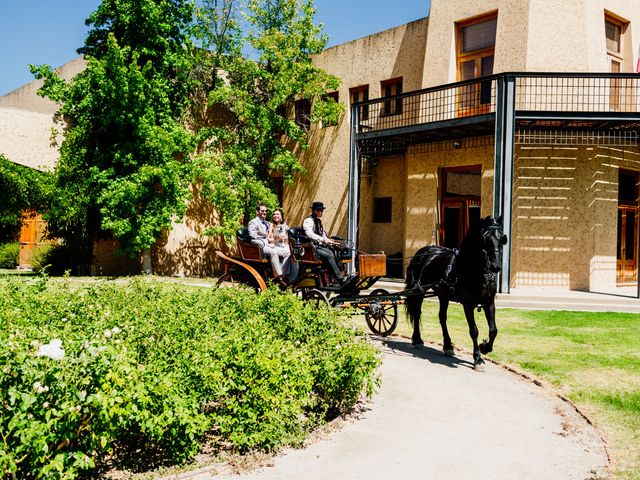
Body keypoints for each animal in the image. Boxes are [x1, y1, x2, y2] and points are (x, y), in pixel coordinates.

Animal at [408, 217, 508, 372]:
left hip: (443, 295)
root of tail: (423, 251)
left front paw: (485, 347)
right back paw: (417, 339)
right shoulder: (468, 305)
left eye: (502, 238)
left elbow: (493, 330)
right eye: (484, 238)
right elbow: (474, 331)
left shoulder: (489, 303)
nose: (495, 266)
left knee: (442, 317)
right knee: (417, 313)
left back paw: (448, 346)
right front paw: (478, 359)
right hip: (419, 292)